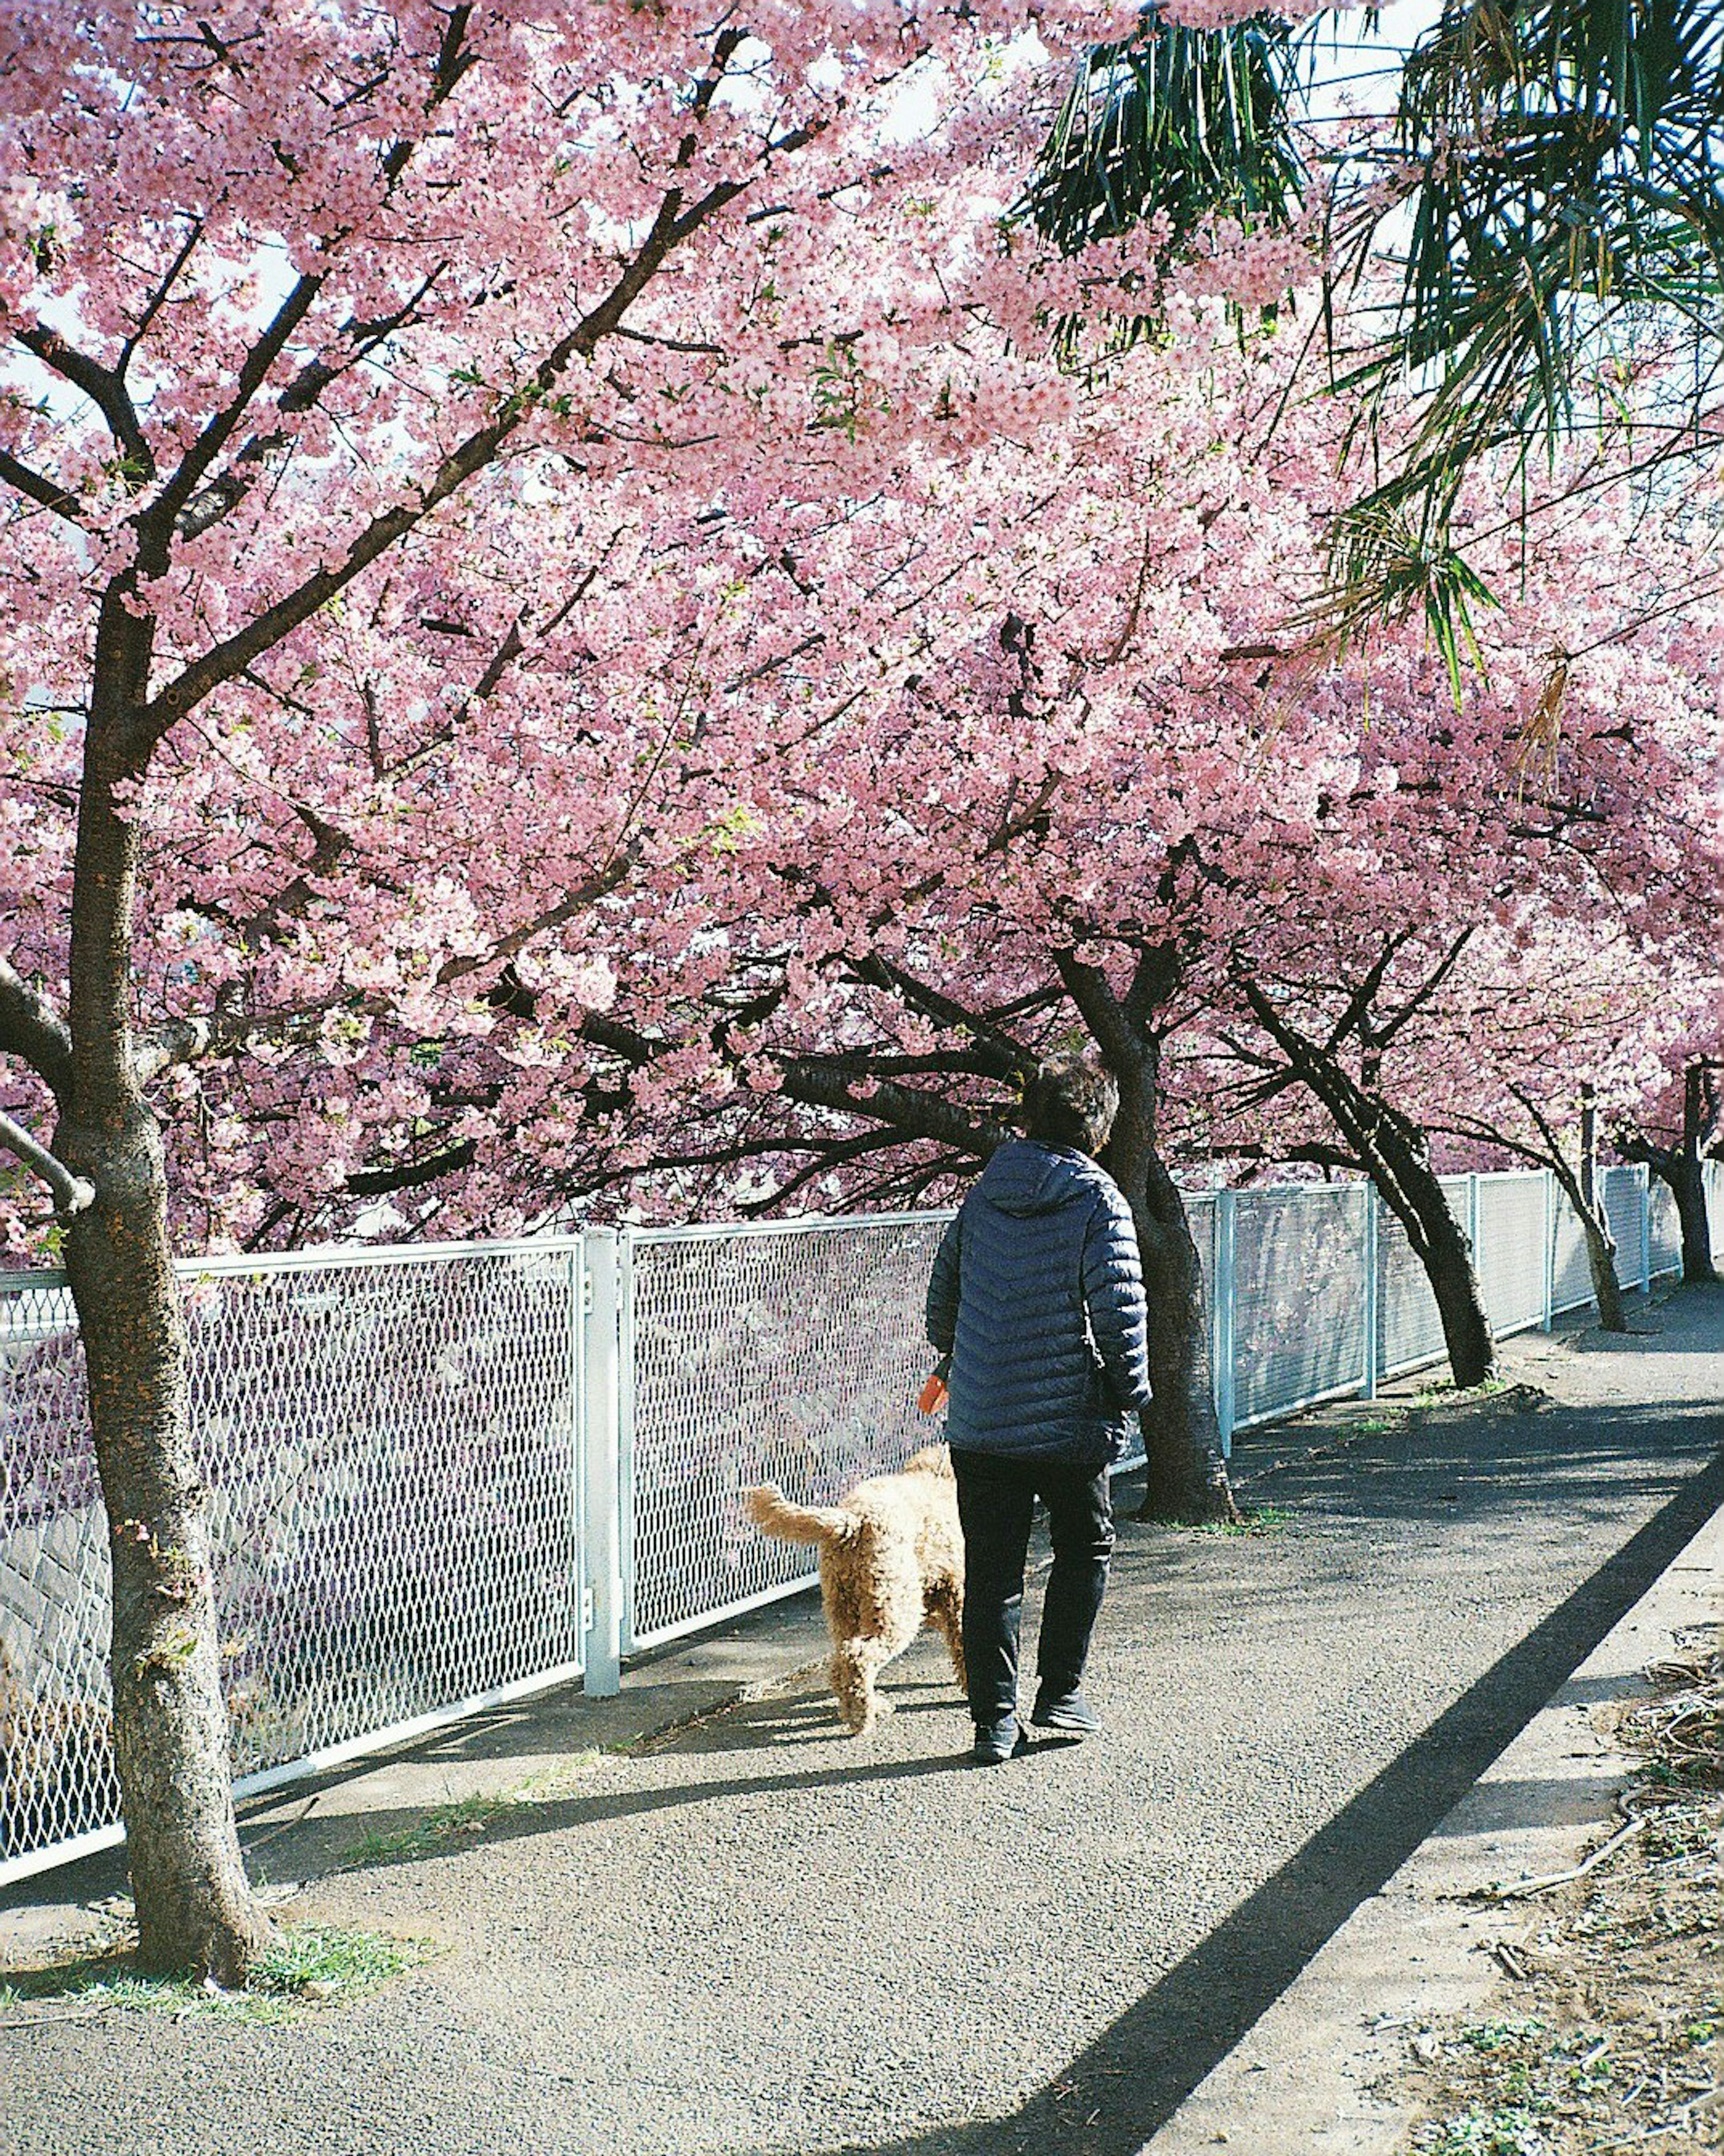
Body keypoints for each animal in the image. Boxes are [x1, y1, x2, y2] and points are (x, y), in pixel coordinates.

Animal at [737, 1448, 961, 1733]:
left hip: (844, 1605)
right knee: (859, 1657)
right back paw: (863, 1716)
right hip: (894, 1607)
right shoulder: (958, 1593)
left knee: (840, 1662)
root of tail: (851, 1521)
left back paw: (862, 1707)